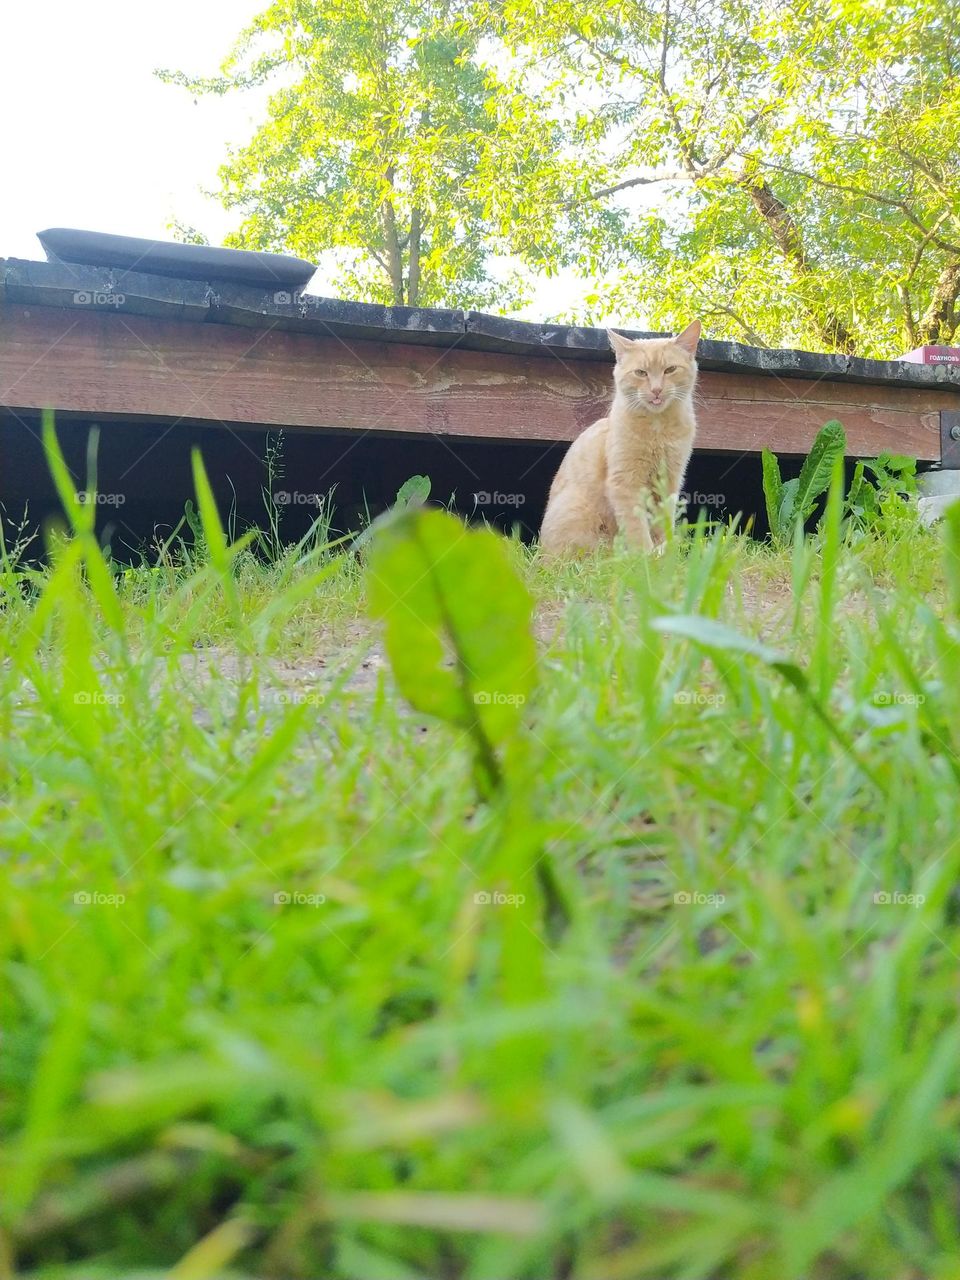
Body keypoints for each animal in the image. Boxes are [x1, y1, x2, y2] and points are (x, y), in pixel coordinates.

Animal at [542, 322, 701, 552]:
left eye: (670, 370)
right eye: (641, 372)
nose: (656, 390)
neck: (658, 428)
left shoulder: (670, 479)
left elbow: (663, 522)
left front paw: (666, 551)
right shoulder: (625, 482)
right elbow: (636, 527)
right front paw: (646, 555)